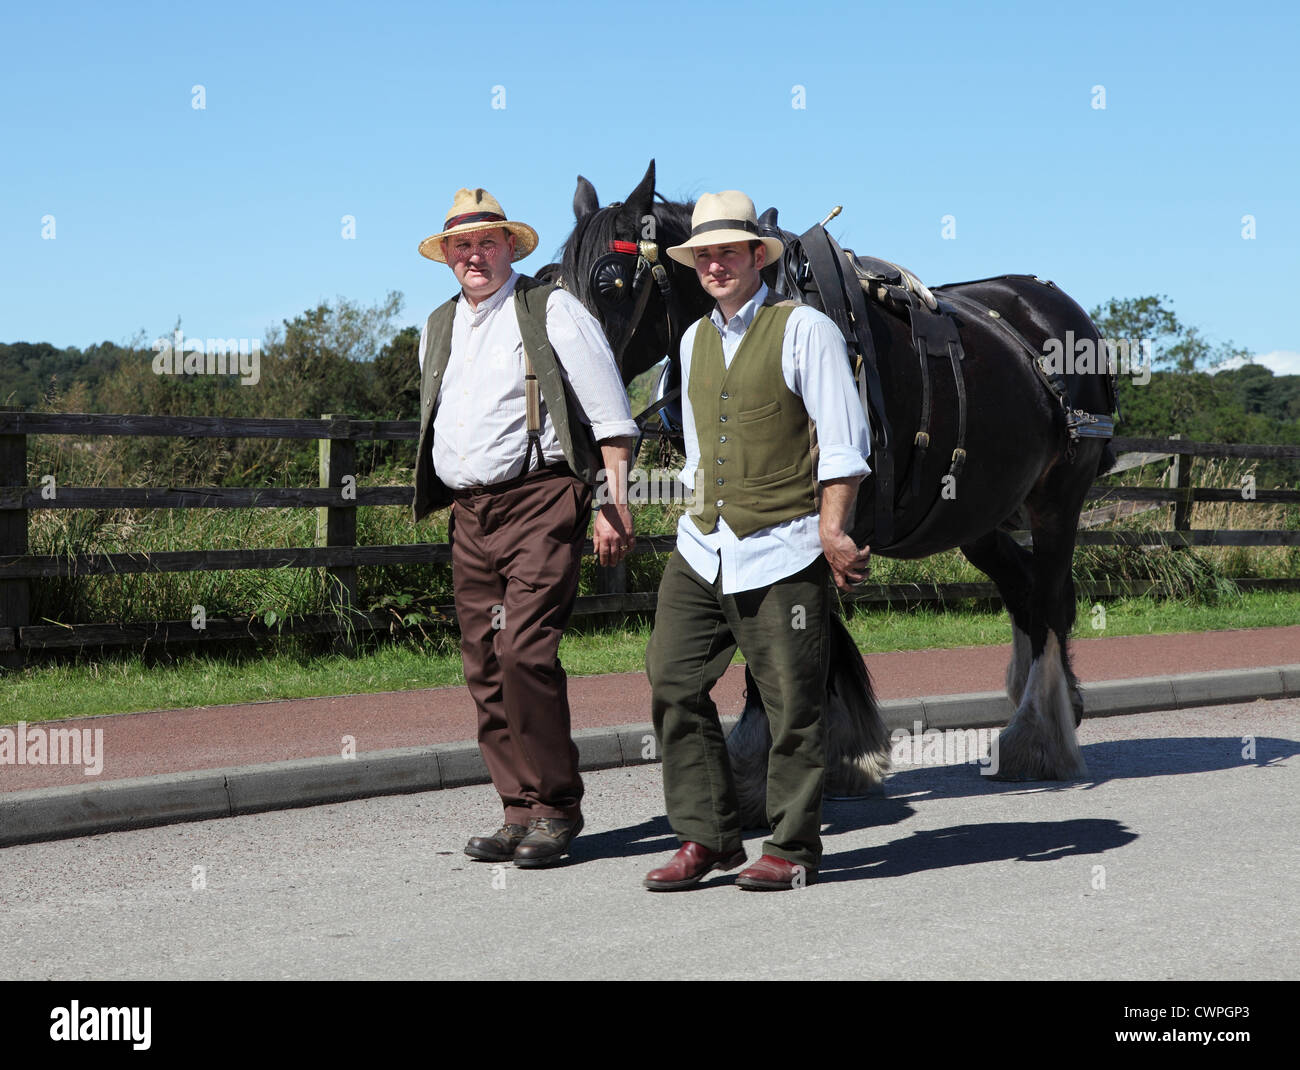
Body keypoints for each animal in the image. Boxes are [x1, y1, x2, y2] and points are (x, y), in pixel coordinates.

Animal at [553, 163, 1112, 826]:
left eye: (610, 284)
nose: (570, 409)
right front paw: (839, 755)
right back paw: (1055, 709)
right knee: (1026, 593)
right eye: (555, 280)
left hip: (1058, 499)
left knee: (1049, 599)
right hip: (979, 516)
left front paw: (763, 772)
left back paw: (1037, 738)